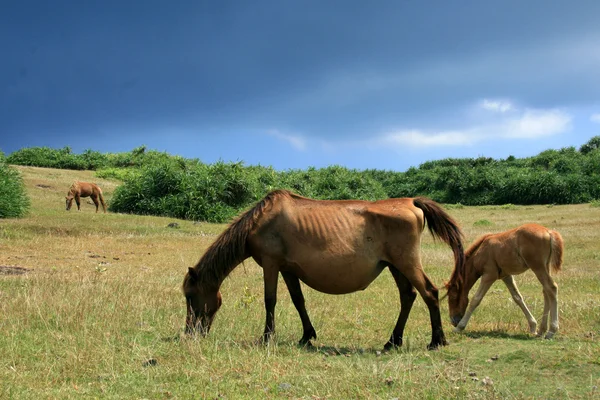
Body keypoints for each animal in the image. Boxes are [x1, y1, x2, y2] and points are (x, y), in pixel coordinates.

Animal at [183, 191, 464, 350]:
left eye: (189, 296)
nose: (189, 332)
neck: (260, 221)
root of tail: (411, 202)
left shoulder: (271, 265)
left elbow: (269, 300)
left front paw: (266, 338)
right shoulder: (287, 269)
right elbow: (298, 301)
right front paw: (307, 336)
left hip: (407, 263)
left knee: (429, 293)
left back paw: (436, 341)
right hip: (395, 266)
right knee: (408, 297)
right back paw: (393, 341)